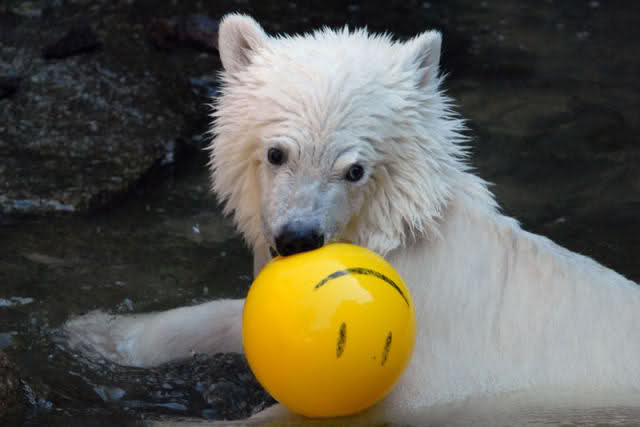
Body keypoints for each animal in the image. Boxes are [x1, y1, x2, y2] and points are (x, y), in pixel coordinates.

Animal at [65, 13, 640, 422]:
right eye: (277, 153)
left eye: (355, 169)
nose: (297, 238)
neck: (395, 242)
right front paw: (99, 332)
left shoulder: (438, 376)